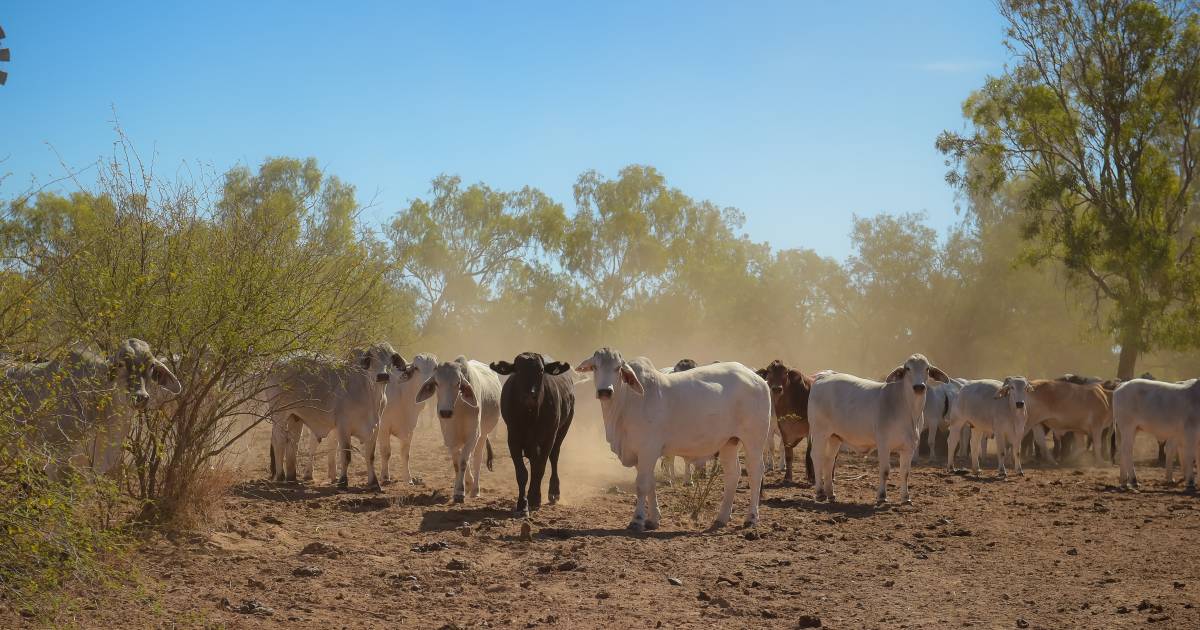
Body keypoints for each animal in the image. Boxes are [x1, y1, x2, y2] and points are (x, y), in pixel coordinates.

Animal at [492, 348, 576, 516]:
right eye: (518, 370)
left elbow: (540, 468)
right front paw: (522, 503)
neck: (529, 415)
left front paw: (535, 497)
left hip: (563, 428)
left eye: (541, 370)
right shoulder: (513, 439)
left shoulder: (549, 437)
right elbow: (522, 473)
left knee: (554, 457)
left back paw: (554, 491)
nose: (531, 395)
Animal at [571, 345, 768, 528]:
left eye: (618, 368)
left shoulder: (648, 449)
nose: (605, 391)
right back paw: (722, 517)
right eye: (595, 367)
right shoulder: (640, 455)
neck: (627, 403)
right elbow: (650, 483)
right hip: (729, 442)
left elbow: (642, 485)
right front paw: (653, 519)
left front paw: (637, 520)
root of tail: (756, 377)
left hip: (754, 441)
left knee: (755, 472)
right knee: (732, 474)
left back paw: (751, 518)